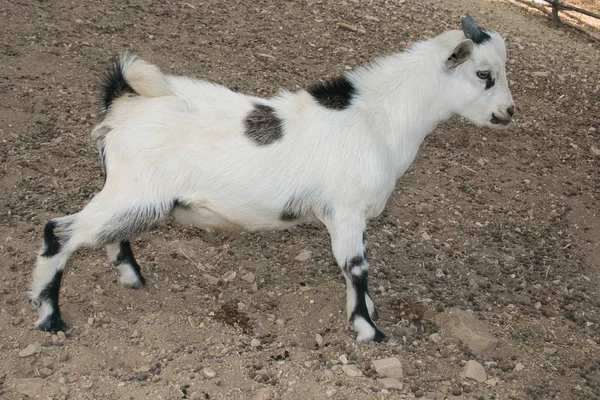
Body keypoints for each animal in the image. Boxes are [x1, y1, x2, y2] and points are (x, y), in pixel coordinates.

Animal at [29, 14, 516, 342]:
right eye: (483, 74)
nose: (508, 113)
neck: (376, 118)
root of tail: (123, 102)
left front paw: (369, 315)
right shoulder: (345, 211)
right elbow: (356, 268)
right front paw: (367, 329)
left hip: (135, 194)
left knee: (108, 234)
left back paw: (132, 279)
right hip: (133, 190)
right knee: (59, 233)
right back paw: (50, 318)